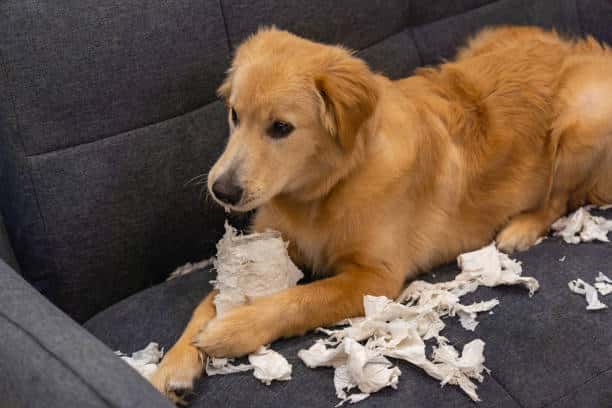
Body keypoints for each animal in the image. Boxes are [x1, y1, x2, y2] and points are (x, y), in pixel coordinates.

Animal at [149, 25, 612, 398]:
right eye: (234, 115)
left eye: (281, 127)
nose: (222, 190)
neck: (328, 189)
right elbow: (209, 300)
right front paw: (170, 368)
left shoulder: (374, 278)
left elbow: (301, 298)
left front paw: (232, 330)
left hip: (581, 118)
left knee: (558, 199)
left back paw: (520, 228)